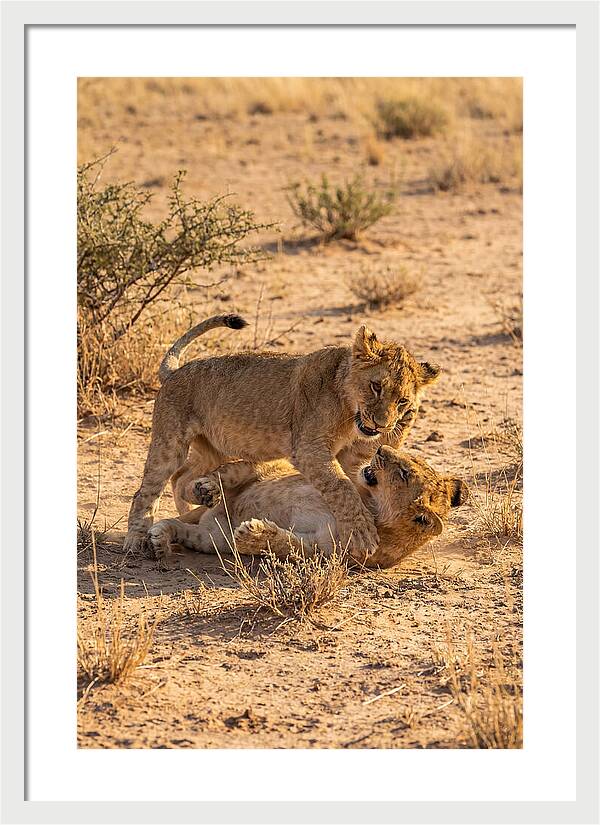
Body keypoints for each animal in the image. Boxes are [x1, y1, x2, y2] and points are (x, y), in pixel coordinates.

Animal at [125, 314, 440, 560]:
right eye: (376, 386)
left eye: (402, 401)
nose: (382, 424)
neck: (349, 410)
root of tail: (175, 372)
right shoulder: (310, 448)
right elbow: (342, 487)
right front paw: (363, 533)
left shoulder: (352, 456)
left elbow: (354, 479)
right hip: (170, 441)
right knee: (147, 490)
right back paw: (137, 540)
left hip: (214, 448)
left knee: (182, 478)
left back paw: (200, 500)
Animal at [147, 446, 468, 569]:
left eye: (403, 473)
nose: (380, 449)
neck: (371, 505)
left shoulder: (322, 551)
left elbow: (286, 544)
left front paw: (253, 534)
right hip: (260, 470)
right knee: (230, 472)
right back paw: (205, 489)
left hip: (213, 538)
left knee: (182, 528)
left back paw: (159, 540)